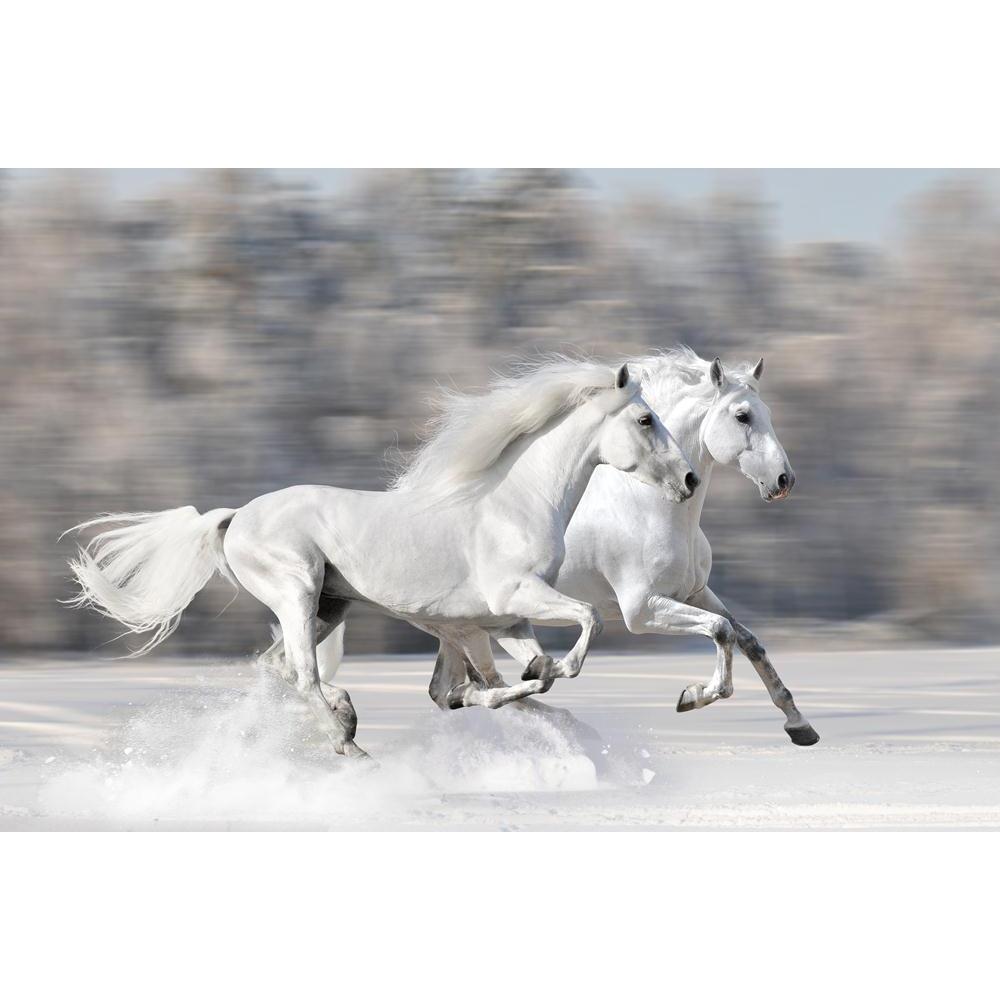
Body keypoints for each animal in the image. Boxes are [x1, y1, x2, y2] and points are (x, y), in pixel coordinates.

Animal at [64, 359, 698, 759]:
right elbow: (579, 629)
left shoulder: (505, 620)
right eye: (645, 419)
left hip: (330, 606)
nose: (690, 479)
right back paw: (346, 739)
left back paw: (346, 716)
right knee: (300, 674)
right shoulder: (511, 602)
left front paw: (533, 683)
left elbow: (505, 680)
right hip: (297, 592)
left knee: (277, 668)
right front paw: (552, 673)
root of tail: (235, 517)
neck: (514, 503)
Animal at [318, 348, 819, 746]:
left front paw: (799, 726)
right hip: (462, 626)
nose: (784, 481)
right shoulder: (642, 610)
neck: (649, 506)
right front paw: (693, 696)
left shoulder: (694, 592)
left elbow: (746, 638)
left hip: (458, 629)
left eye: (766, 412)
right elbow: (720, 631)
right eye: (742, 415)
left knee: (450, 691)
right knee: (469, 687)